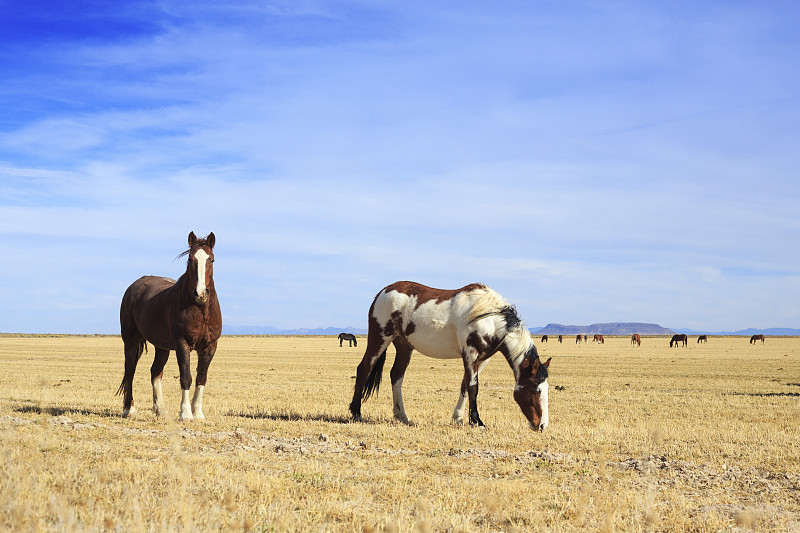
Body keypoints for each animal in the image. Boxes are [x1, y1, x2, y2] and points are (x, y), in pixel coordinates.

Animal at [117, 232, 222, 420]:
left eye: (211, 260)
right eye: (190, 259)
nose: (200, 293)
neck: (201, 310)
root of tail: (134, 287)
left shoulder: (210, 346)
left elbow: (201, 377)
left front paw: (198, 413)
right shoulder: (182, 344)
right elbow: (186, 377)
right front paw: (186, 413)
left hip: (162, 347)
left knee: (155, 372)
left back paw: (161, 410)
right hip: (130, 341)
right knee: (130, 371)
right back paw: (130, 409)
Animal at [350, 280, 552, 430]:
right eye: (536, 390)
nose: (542, 426)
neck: (489, 318)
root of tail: (383, 292)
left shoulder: (483, 358)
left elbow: (465, 385)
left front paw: (458, 418)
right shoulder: (470, 353)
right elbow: (473, 387)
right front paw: (477, 422)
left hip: (404, 346)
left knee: (396, 376)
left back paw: (403, 417)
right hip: (380, 338)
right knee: (364, 369)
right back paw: (356, 412)